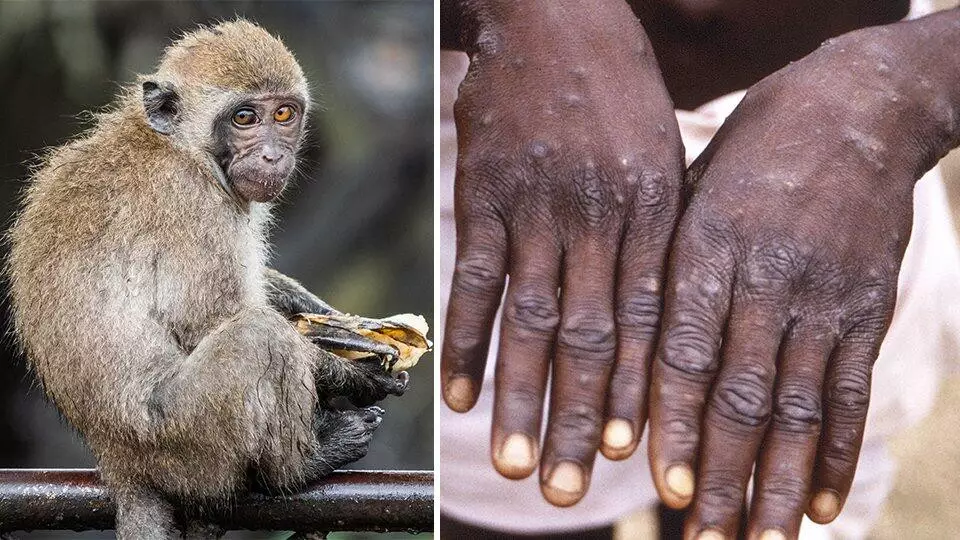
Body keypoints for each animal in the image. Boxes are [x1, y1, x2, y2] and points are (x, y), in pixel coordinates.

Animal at [3, 19, 404, 536]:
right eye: (244, 118)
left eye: (284, 113)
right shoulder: (192, 203)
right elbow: (208, 320)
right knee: (258, 337)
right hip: (186, 440)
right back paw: (297, 468)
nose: (273, 156)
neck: (181, 147)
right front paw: (354, 372)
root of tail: (118, 458)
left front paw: (333, 320)